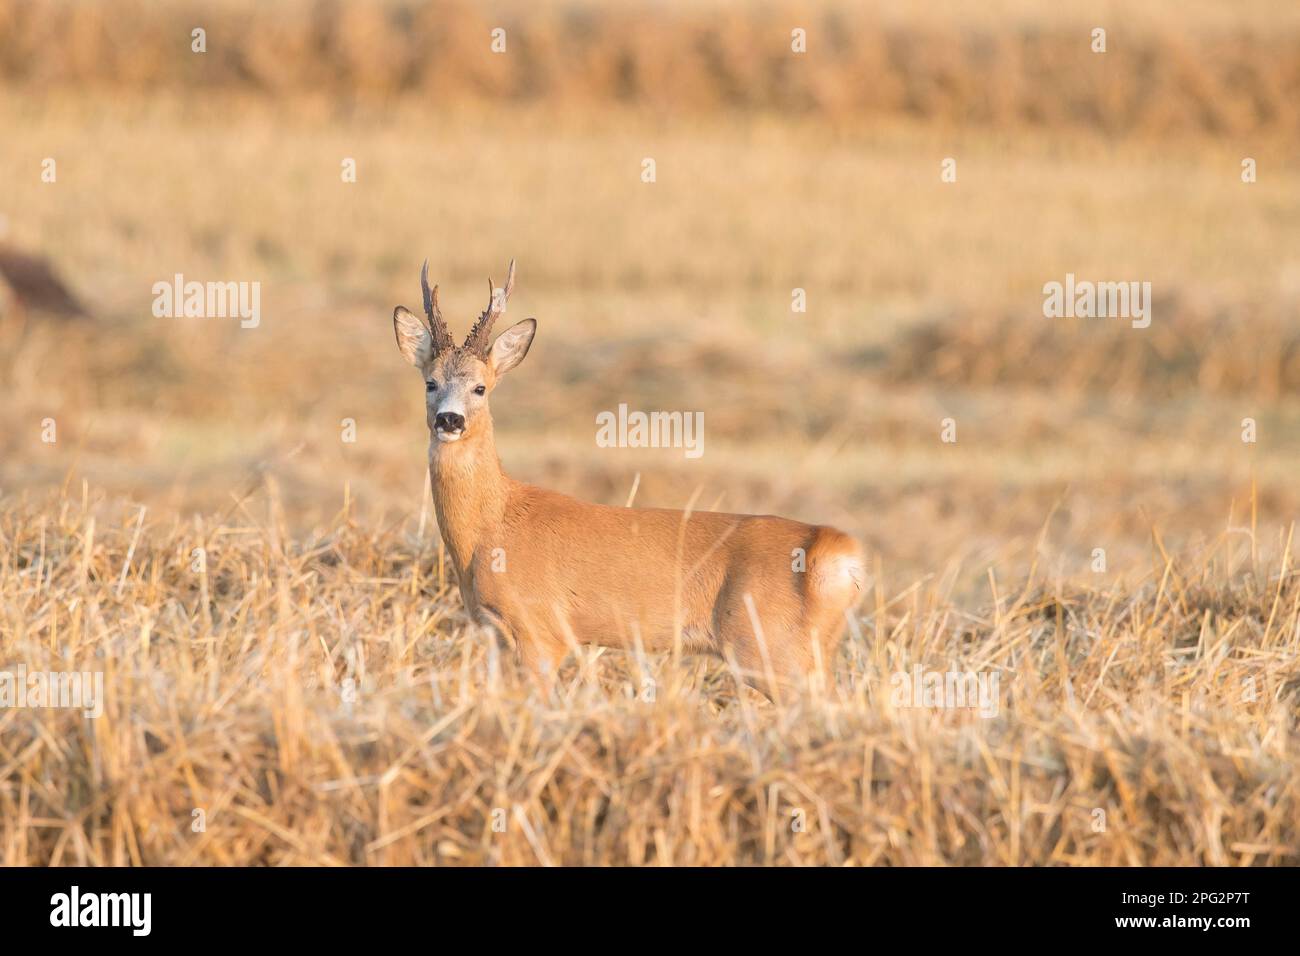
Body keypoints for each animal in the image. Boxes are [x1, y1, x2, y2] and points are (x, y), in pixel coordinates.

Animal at [392, 259, 865, 698]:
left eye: (481, 388)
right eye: (430, 382)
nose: (449, 420)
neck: (491, 525)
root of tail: (834, 550)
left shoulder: (541, 631)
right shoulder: (496, 636)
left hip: (774, 649)